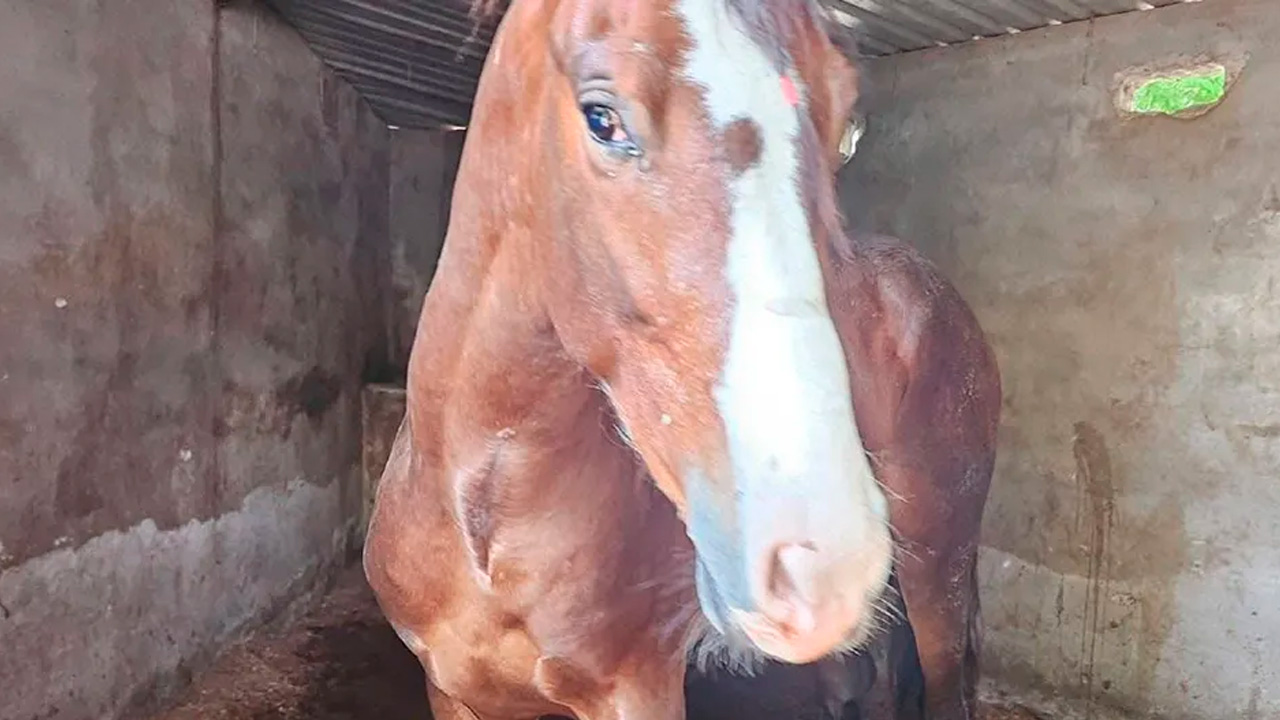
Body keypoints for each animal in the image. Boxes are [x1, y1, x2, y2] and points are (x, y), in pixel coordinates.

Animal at [362, 0, 1001, 718]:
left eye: (843, 124)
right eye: (601, 117)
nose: (823, 560)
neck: (488, 536)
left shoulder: (639, 691)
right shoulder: (450, 691)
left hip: (936, 570)